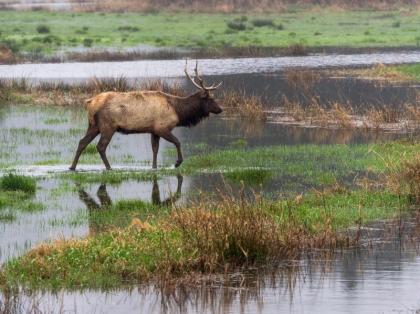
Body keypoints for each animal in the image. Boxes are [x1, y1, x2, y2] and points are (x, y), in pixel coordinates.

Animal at [70, 60, 223, 170]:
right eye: (210, 99)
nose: (220, 109)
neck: (178, 111)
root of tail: (90, 102)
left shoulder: (153, 130)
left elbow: (155, 149)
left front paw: (154, 166)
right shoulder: (162, 127)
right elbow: (177, 142)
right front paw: (177, 162)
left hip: (93, 125)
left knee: (82, 142)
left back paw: (72, 167)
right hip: (108, 126)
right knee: (100, 146)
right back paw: (109, 167)